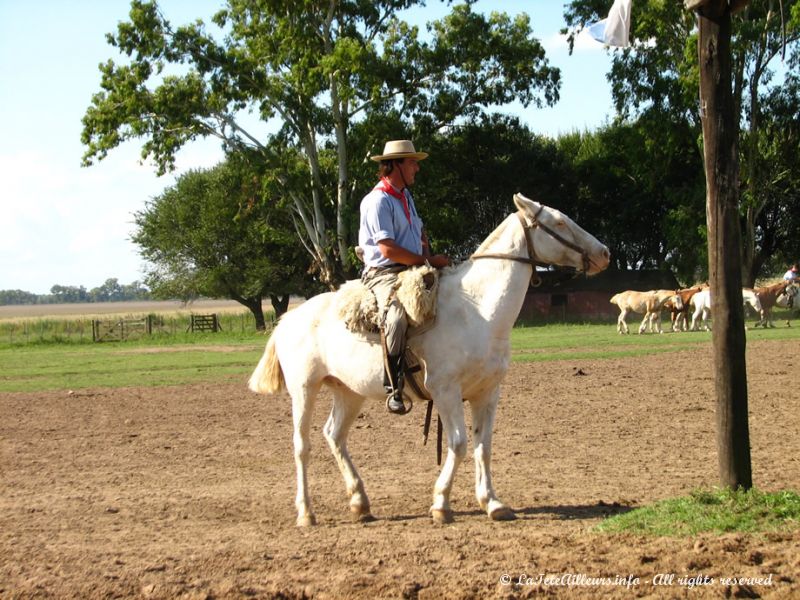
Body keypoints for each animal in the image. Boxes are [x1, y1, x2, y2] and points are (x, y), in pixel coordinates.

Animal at [247, 193, 608, 524]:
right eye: (558, 223)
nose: (604, 253)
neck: (477, 311)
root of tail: (288, 319)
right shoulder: (445, 391)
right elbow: (459, 444)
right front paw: (441, 503)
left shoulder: (487, 392)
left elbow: (483, 446)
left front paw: (493, 503)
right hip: (304, 389)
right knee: (302, 446)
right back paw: (306, 512)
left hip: (349, 392)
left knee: (334, 435)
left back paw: (360, 503)